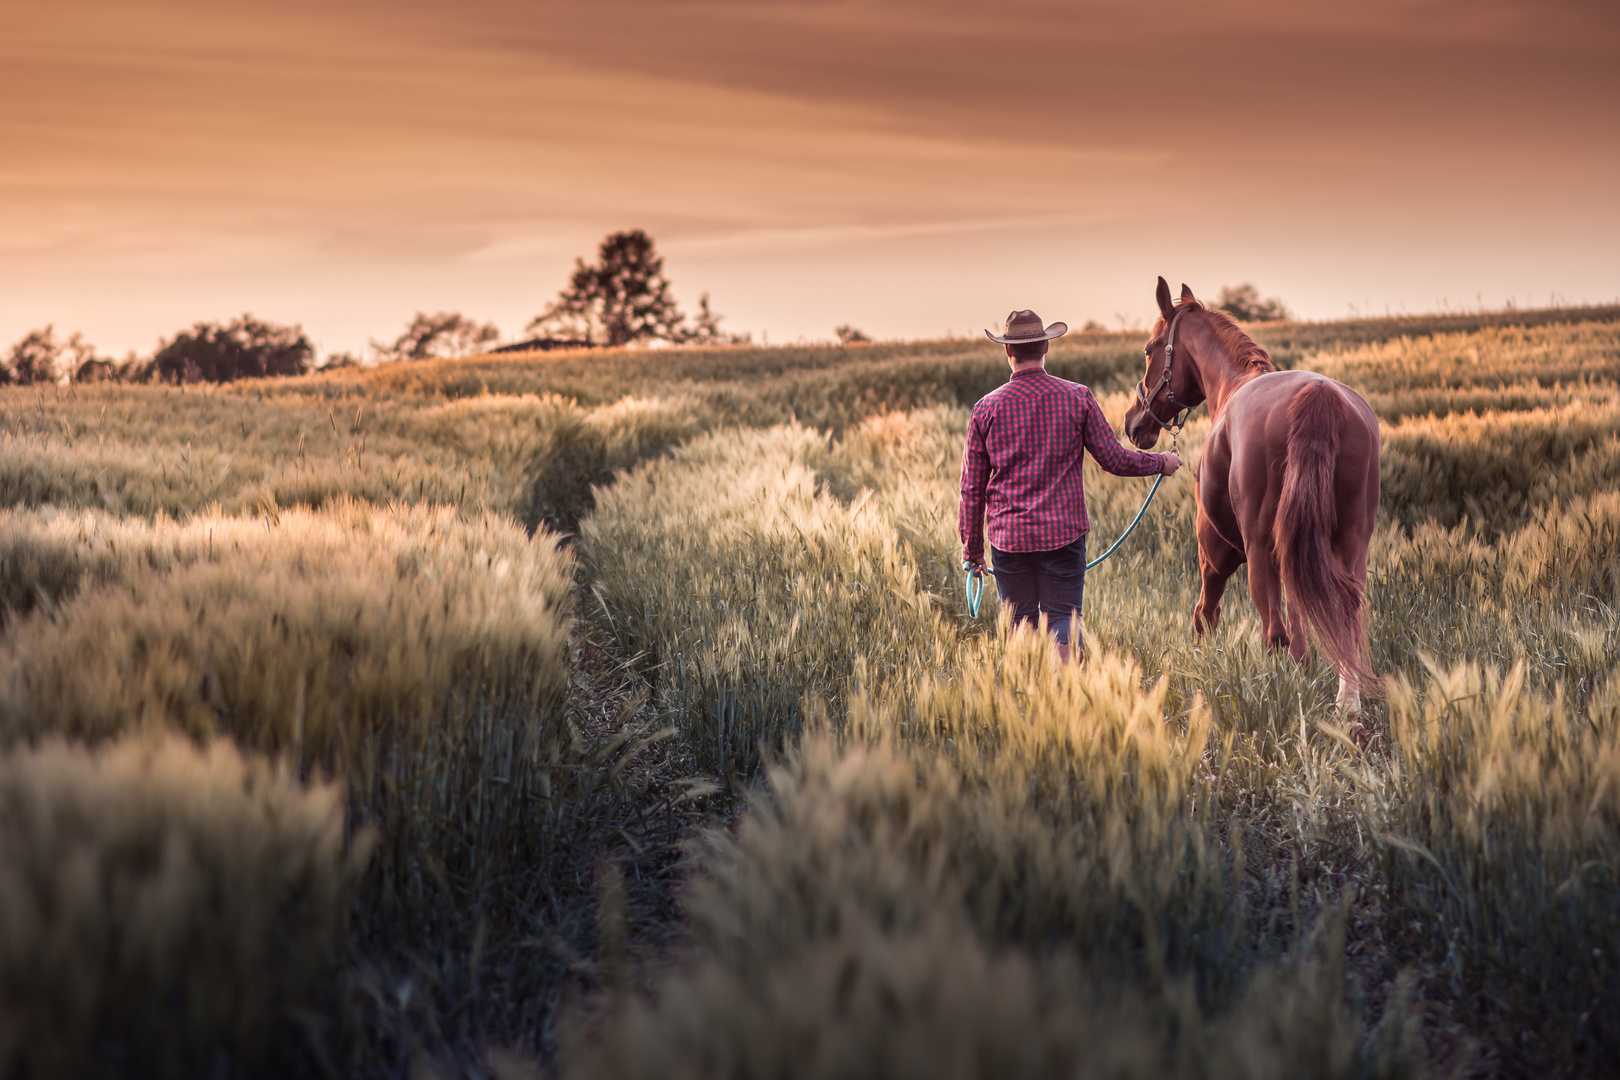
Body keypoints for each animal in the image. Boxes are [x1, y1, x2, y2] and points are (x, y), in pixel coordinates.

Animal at [1127, 278, 1380, 712]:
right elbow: (1301, 627)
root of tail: (1318, 395)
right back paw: (1347, 707)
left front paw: (1204, 669)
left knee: (1271, 632)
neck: (1231, 386)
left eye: (1149, 349)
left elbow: (1206, 614)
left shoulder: (1215, 554)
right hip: (1350, 543)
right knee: (1345, 620)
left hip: (1257, 549)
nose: (1133, 423)